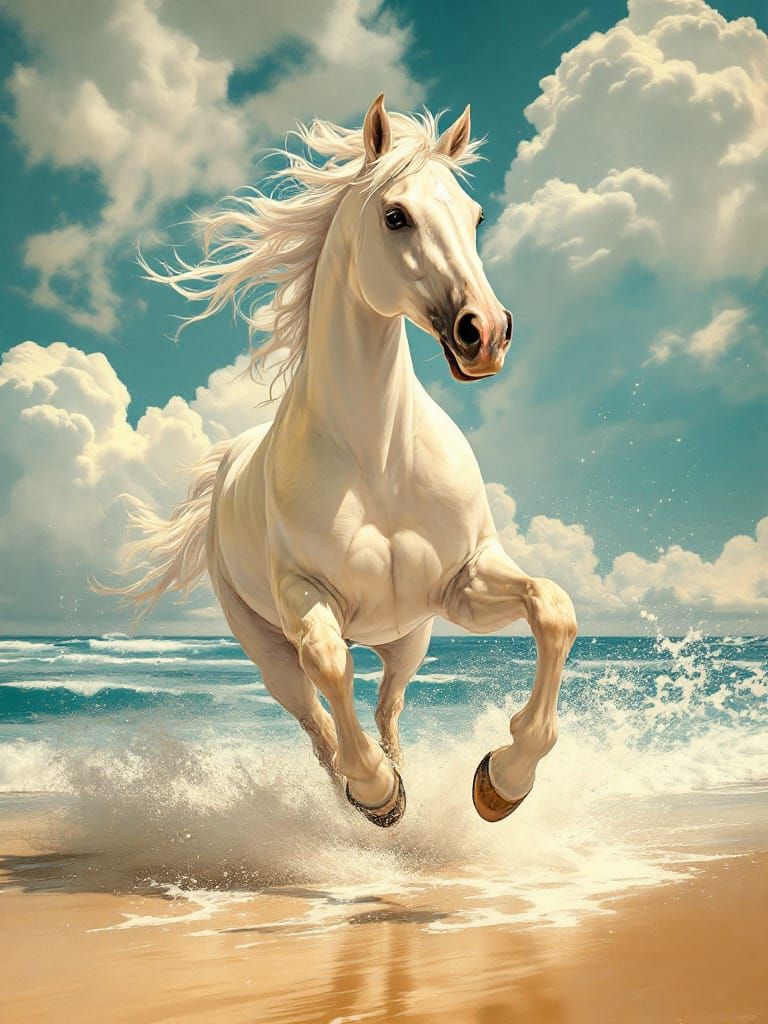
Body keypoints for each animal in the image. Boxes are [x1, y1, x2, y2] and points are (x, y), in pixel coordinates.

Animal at [113, 95, 577, 829]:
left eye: (476, 216)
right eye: (396, 215)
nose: (486, 333)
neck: (377, 460)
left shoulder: (463, 582)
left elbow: (553, 607)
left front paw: (503, 779)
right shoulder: (307, 598)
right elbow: (330, 664)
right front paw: (377, 792)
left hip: (409, 638)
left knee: (389, 705)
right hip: (268, 652)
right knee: (316, 722)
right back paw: (360, 792)